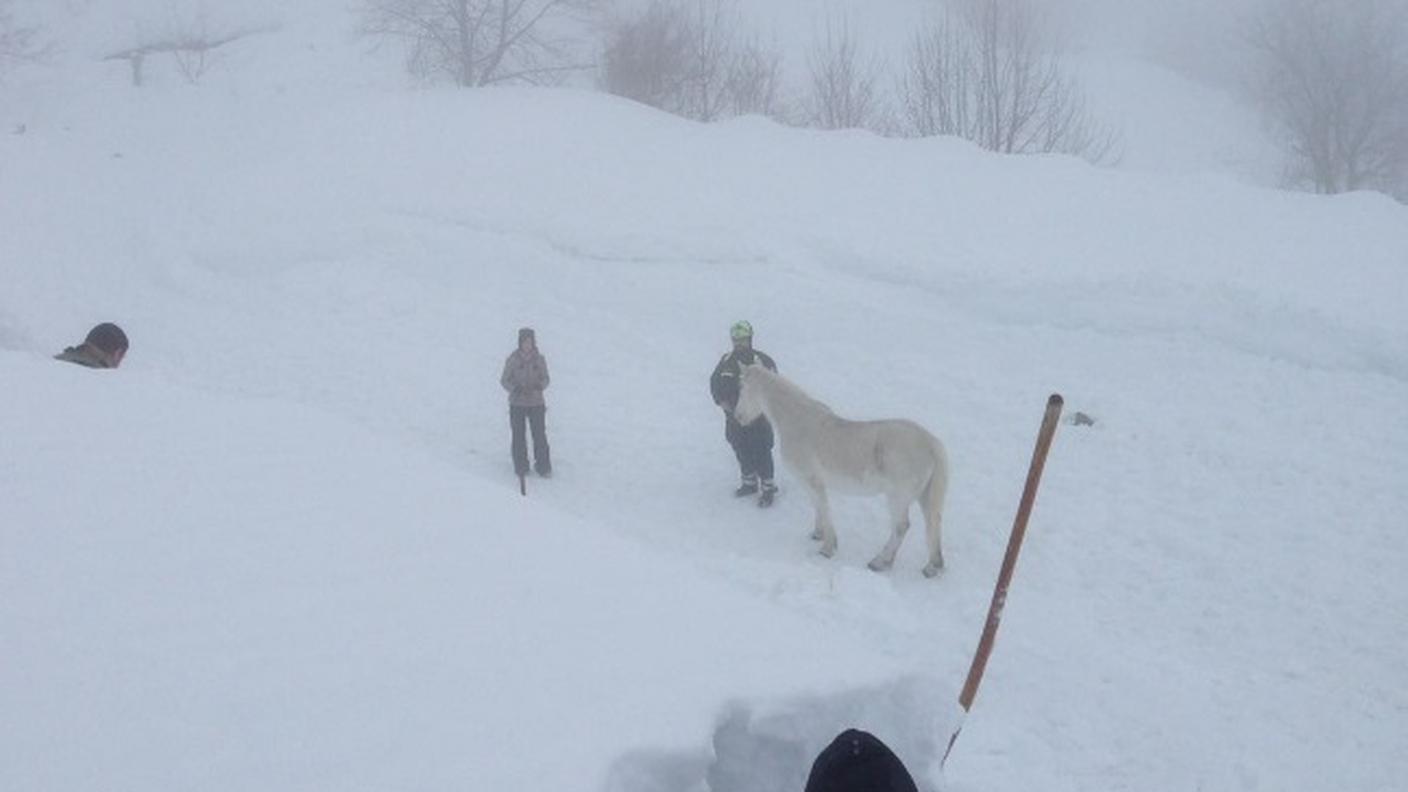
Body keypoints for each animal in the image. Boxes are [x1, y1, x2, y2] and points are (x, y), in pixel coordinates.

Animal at [733, 363, 950, 577]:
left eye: (742, 387)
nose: (738, 417)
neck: (797, 422)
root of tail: (932, 444)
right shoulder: (811, 484)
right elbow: (817, 506)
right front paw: (817, 534)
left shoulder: (813, 481)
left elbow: (823, 507)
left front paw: (827, 549)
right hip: (924, 496)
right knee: (933, 522)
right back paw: (932, 567)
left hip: (898, 497)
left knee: (901, 527)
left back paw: (879, 563)